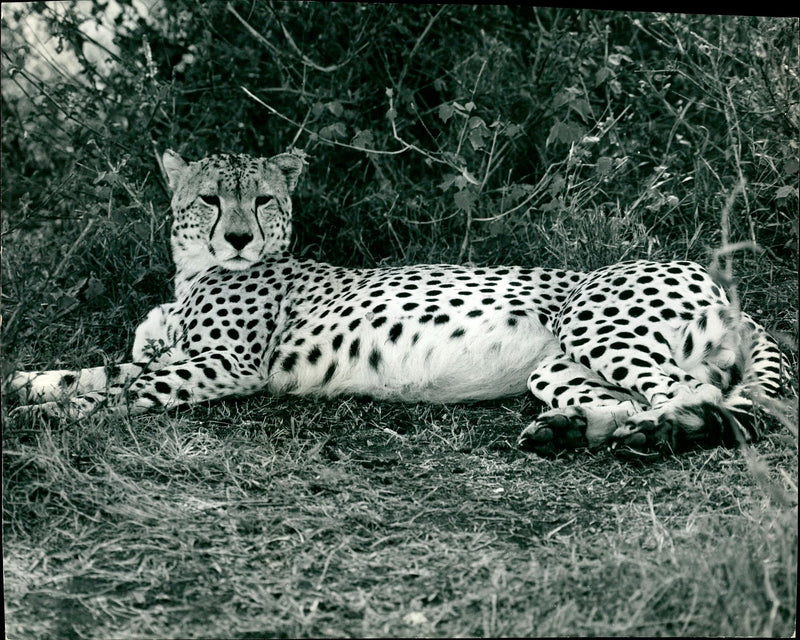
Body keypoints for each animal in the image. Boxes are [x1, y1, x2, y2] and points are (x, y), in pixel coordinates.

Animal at [6, 150, 792, 458]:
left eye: (262, 200)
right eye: (208, 199)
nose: (236, 237)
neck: (196, 274)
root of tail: (712, 275)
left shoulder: (226, 363)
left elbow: (125, 386)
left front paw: (43, 417)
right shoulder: (182, 350)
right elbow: (99, 369)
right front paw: (28, 383)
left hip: (601, 324)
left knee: (708, 401)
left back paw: (661, 436)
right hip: (558, 364)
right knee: (649, 401)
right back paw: (575, 431)